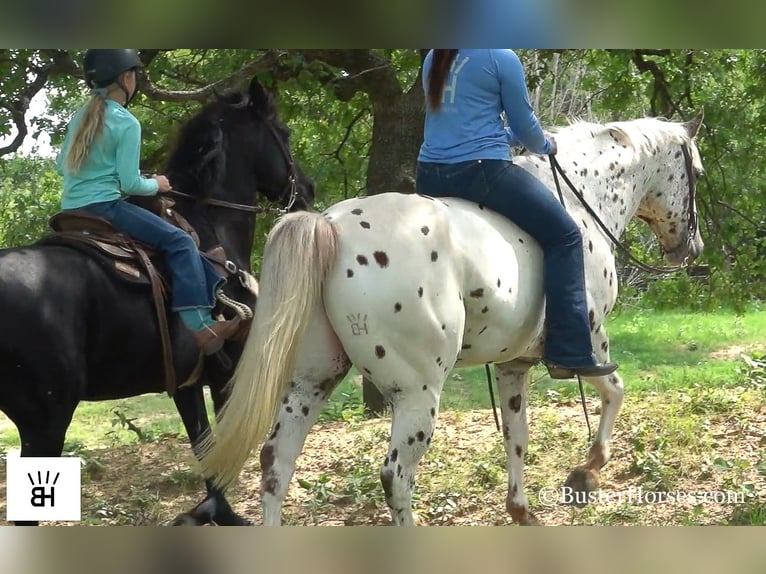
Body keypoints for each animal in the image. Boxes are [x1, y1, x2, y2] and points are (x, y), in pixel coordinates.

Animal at [0, 75, 316, 528]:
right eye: (285, 133)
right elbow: (220, 446)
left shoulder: (187, 381)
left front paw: (210, 511)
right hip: (46, 423)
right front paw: (225, 515)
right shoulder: (227, 374)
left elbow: (202, 445)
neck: (211, 227)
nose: (307, 189)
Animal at [200, 111, 708, 528]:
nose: (692, 249)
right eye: (697, 174)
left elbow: (517, 436)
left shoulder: (513, 364)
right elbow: (614, 392)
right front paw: (589, 470)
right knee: (396, 476)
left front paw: (522, 511)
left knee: (276, 464)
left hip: (310, 382)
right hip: (416, 393)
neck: (580, 201)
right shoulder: (592, 340)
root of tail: (330, 226)